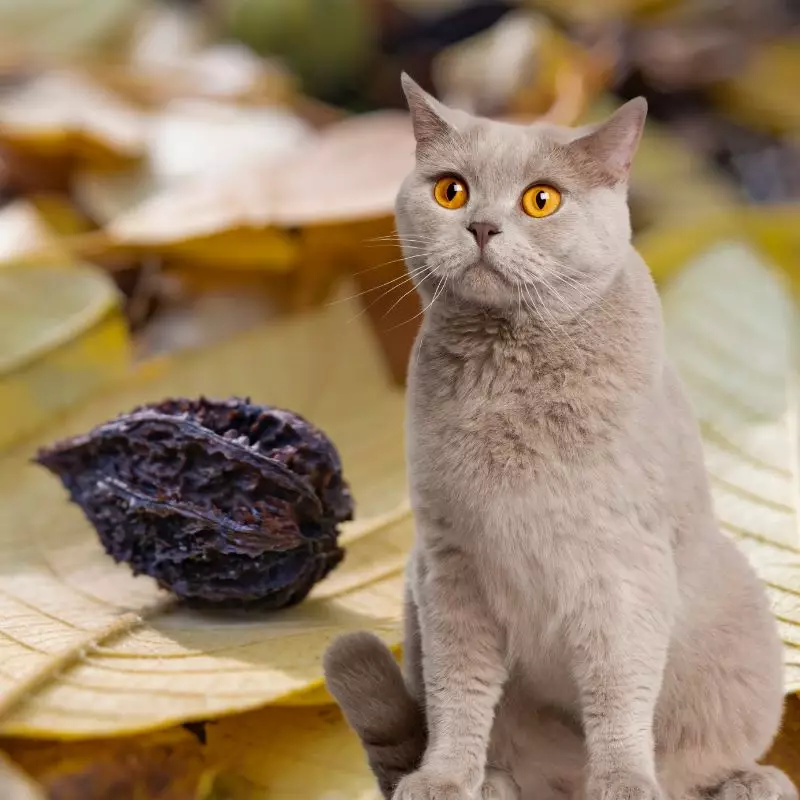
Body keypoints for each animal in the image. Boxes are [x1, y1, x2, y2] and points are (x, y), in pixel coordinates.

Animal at [324, 75, 792, 800]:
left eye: (540, 199)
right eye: (450, 190)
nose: (482, 226)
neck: (510, 372)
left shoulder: (621, 571)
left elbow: (619, 693)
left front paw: (625, 784)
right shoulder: (451, 567)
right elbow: (458, 692)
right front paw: (446, 778)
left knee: (697, 765)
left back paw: (748, 781)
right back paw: (495, 784)